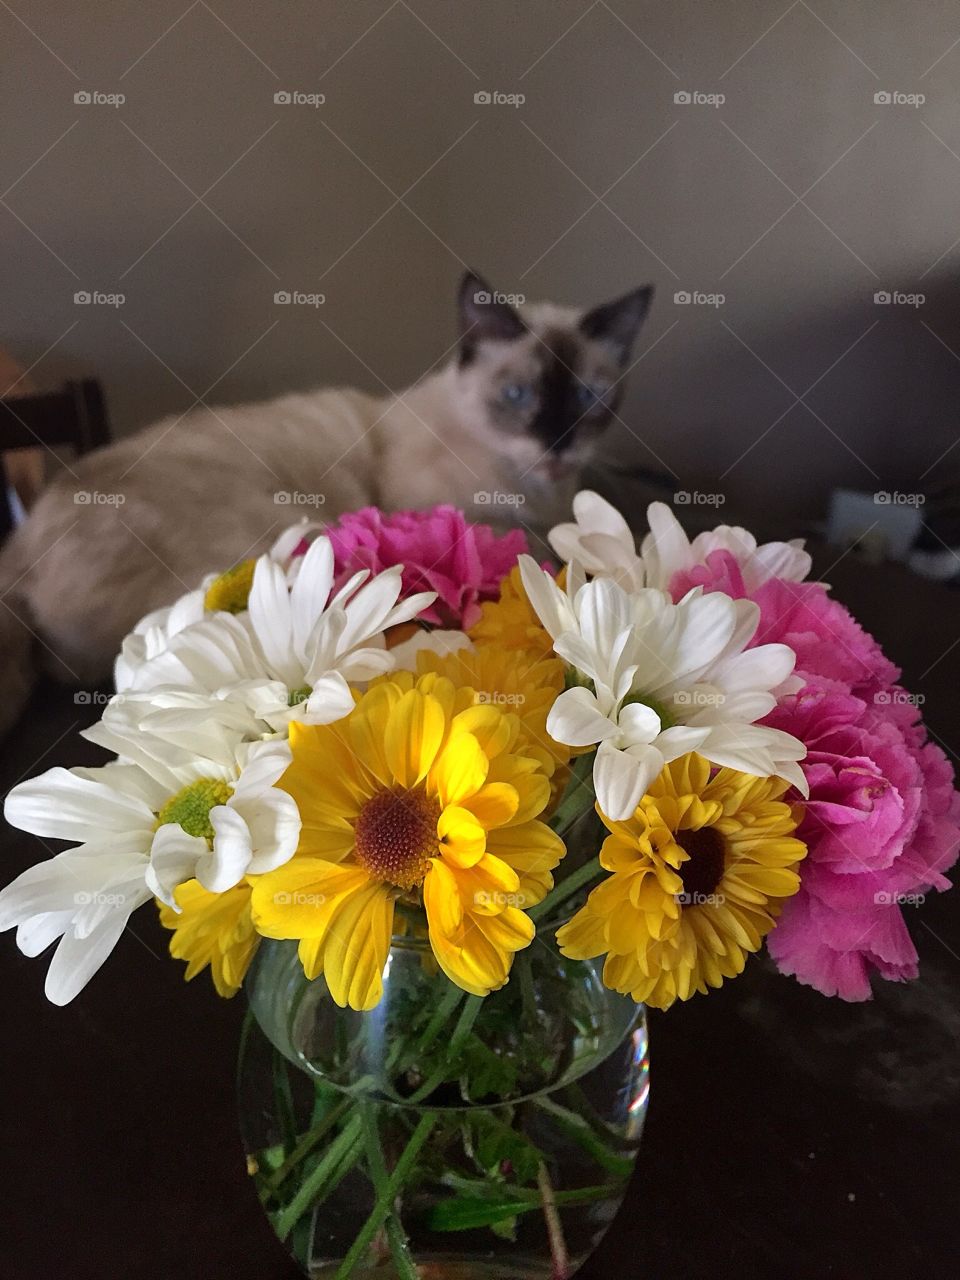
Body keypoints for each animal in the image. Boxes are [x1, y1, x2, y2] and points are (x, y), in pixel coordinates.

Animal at [0, 268, 655, 732]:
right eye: (517, 395)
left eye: (590, 397)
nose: (559, 445)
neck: (539, 489)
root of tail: (20, 547)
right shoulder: (478, 517)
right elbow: (538, 550)